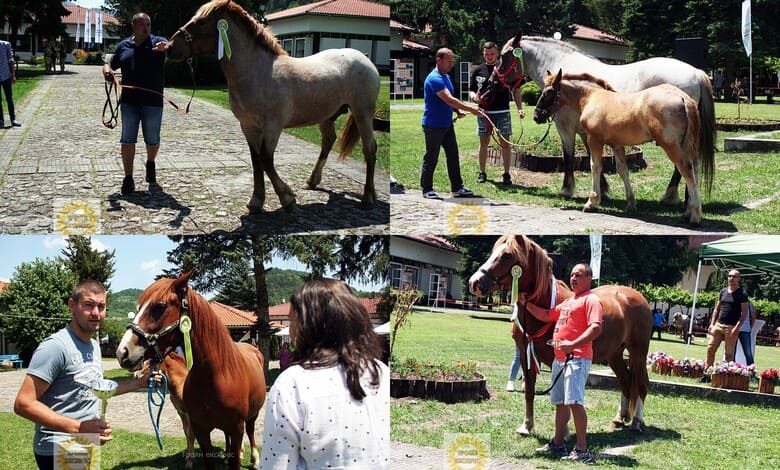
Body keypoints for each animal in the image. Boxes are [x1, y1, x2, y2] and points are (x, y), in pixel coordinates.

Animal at [116, 272, 266, 470]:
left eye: (160, 306)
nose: (122, 352)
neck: (214, 378)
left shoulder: (236, 428)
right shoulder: (201, 429)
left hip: (251, 416)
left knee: (250, 431)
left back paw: (254, 459)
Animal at [166, 0, 380, 213]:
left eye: (202, 22)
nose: (168, 47)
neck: (258, 72)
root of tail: (364, 58)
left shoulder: (272, 126)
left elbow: (266, 160)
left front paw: (287, 198)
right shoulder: (248, 126)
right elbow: (256, 161)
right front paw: (256, 200)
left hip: (362, 113)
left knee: (370, 148)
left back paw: (368, 197)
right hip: (327, 116)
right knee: (328, 141)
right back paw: (311, 181)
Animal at [466, 237, 656, 436]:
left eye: (507, 255)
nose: (474, 283)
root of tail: (638, 298)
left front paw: (562, 432)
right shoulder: (526, 353)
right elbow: (529, 390)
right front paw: (527, 426)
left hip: (638, 352)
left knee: (641, 384)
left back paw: (636, 421)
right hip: (615, 354)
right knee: (626, 381)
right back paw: (620, 418)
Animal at [490, 34, 716, 207]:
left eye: (504, 56)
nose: (492, 82)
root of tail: (697, 73)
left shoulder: (566, 129)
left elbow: (569, 157)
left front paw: (567, 190)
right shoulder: (587, 131)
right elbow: (592, 157)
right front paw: (603, 189)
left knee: (683, 165)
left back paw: (671, 197)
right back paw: (686, 200)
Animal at [536, 68, 708, 228]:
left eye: (548, 92)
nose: (537, 116)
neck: (591, 97)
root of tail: (683, 98)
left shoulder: (594, 139)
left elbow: (595, 166)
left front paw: (592, 202)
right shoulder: (616, 144)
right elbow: (622, 170)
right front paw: (631, 203)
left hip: (671, 145)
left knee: (686, 169)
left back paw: (695, 215)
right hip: (686, 145)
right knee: (694, 169)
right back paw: (688, 211)